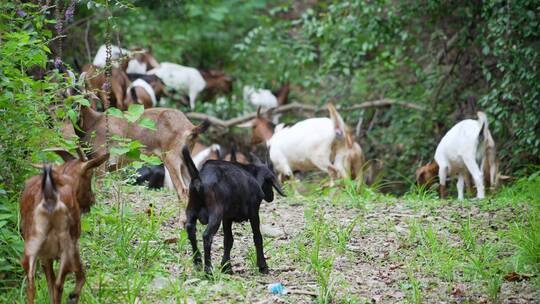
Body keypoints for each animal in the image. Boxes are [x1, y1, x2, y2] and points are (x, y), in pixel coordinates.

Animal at [19, 151, 107, 302]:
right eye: (90, 174)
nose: (92, 199)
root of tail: (50, 197)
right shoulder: (73, 244)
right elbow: (81, 275)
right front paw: (73, 296)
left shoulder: (45, 256)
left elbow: (49, 281)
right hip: (67, 245)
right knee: (60, 284)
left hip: (32, 245)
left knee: (32, 283)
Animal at [181, 145, 284, 274]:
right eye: (269, 182)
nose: (271, 197)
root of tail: (199, 177)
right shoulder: (254, 213)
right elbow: (257, 237)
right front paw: (263, 266)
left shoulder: (227, 218)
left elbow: (228, 240)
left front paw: (226, 267)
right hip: (216, 214)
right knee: (207, 236)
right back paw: (208, 269)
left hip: (191, 210)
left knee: (190, 230)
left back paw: (198, 262)